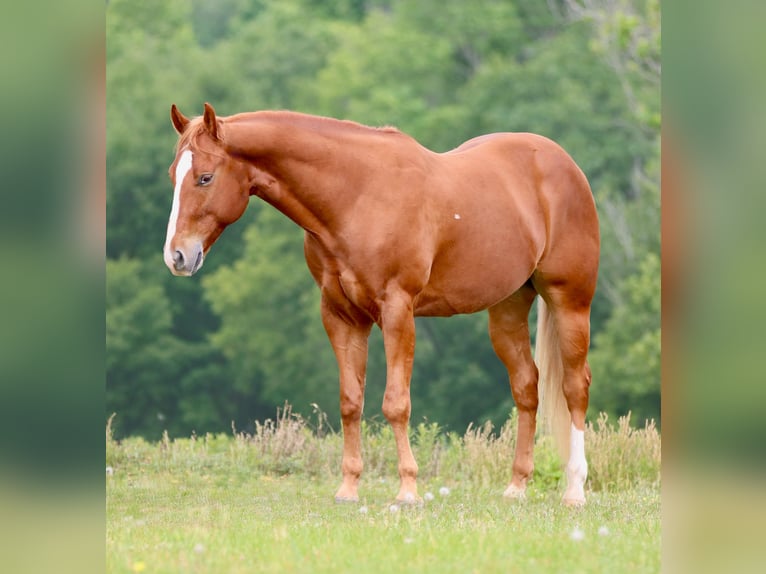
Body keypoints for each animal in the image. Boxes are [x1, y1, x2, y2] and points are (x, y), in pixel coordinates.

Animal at [163, 103, 599, 506]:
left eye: (205, 177)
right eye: (173, 175)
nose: (177, 257)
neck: (356, 196)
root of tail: (563, 163)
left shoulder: (397, 311)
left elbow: (395, 403)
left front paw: (407, 491)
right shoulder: (341, 316)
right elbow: (350, 402)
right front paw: (348, 489)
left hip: (570, 302)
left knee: (575, 387)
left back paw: (575, 489)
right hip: (508, 307)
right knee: (527, 385)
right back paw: (517, 486)